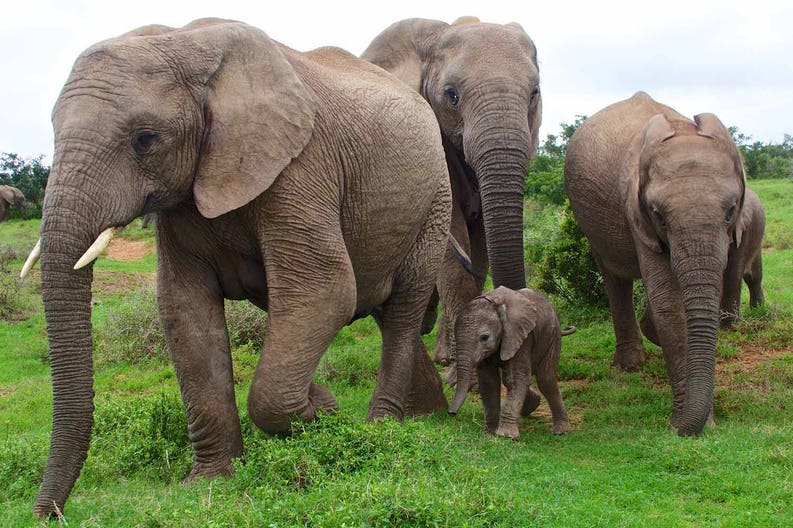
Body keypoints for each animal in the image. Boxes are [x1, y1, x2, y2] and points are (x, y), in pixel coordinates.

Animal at [23, 18, 453, 517]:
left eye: (145, 139)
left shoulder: (301, 169)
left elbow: (324, 291)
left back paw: (383, 426)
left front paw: (325, 411)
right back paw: (427, 413)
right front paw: (211, 481)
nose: (46, 514)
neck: (185, 43)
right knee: (383, 310)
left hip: (435, 202)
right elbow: (185, 312)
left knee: (402, 309)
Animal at [448, 286, 573, 439]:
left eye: (485, 337)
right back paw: (533, 406)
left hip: (552, 336)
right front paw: (490, 432)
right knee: (509, 380)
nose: (451, 413)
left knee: (545, 380)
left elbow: (517, 379)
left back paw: (562, 431)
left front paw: (506, 436)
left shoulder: (522, 336)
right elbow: (489, 382)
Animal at [564, 91, 747, 436]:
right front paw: (692, 423)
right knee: (614, 277)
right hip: (590, 223)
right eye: (659, 215)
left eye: (731, 210)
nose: (676, 429)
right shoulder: (635, 210)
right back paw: (630, 365)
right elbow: (669, 304)